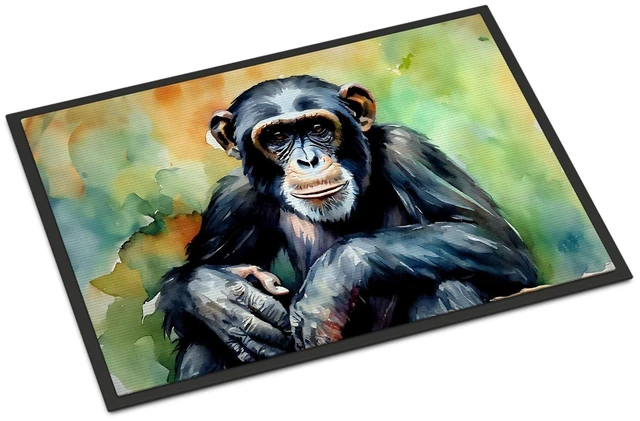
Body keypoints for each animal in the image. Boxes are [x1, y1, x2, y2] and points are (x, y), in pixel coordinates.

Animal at [158, 75, 538, 380]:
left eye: (318, 129)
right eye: (277, 136)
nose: (308, 160)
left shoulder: (408, 150)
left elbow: (493, 239)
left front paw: (330, 284)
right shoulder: (232, 199)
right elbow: (197, 272)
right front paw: (220, 298)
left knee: (447, 284)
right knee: (203, 338)